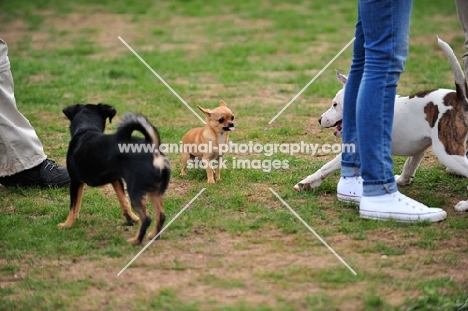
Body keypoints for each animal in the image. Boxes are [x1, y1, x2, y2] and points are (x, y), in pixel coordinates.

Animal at [59, 104, 170, 246]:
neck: (86, 129)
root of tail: (153, 151)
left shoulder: (75, 181)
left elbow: (73, 206)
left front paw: (66, 225)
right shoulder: (116, 179)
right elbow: (123, 201)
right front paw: (131, 218)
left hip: (136, 190)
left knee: (147, 218)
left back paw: (136, 241)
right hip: (154, 191)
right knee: (160, 215)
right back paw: (153, 235)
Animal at [292, 36, 468, 212]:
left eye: (335, 104)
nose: (319, 119)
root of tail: (459, 98)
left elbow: (327, 166)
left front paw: (306, 182)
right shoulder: (419, 146)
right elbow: (409, 165)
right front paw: (402, 181)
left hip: (447, 152)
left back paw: (464, 205)